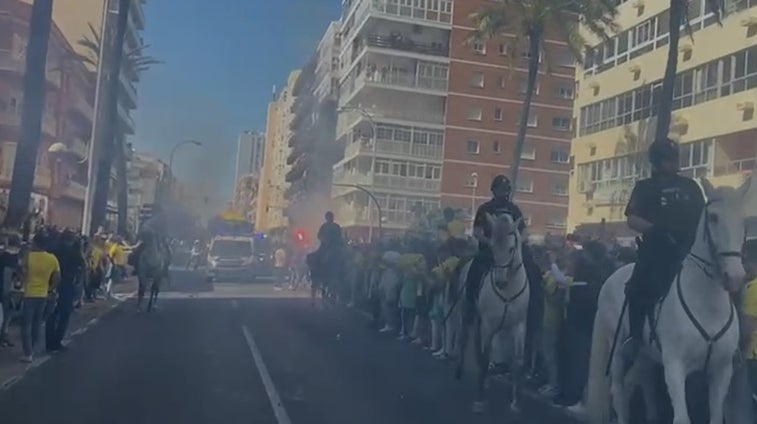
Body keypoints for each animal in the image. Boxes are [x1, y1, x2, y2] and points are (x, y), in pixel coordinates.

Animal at [454, 214, 524, 412]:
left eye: (511, 248)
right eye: (492, 247)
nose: (500, 281)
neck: (508, 290)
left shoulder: (518, 326)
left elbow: (517, 362)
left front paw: (514, 403)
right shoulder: (488, 324)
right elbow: (484, 358)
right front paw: (480, 401)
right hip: (467, 313)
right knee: (464, 339)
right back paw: (460, 371)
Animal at [584, 174, 752, 424]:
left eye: (743, 220)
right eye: (713, 217)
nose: (735, 276)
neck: (707, 305)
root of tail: (610, 279)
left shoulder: (721, 371)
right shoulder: (674, 367)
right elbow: (682, 417)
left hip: (645, 355)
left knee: (642, 382)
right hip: (617, 352)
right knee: (619, 392)